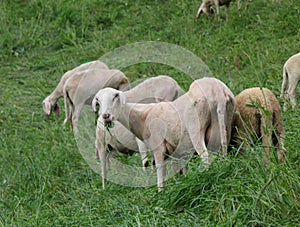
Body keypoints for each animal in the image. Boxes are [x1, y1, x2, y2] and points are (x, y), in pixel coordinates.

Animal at [92, 77, 236, 191]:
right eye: (98, 100)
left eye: (115, 96)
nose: (105, 116)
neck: (143, 116)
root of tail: (217, 91)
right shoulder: (175, 150)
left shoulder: (158, 147)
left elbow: (159, 170)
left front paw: (160, 192)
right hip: (225, 124)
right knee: (223, 147)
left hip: (196, 128)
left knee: (205, 156)